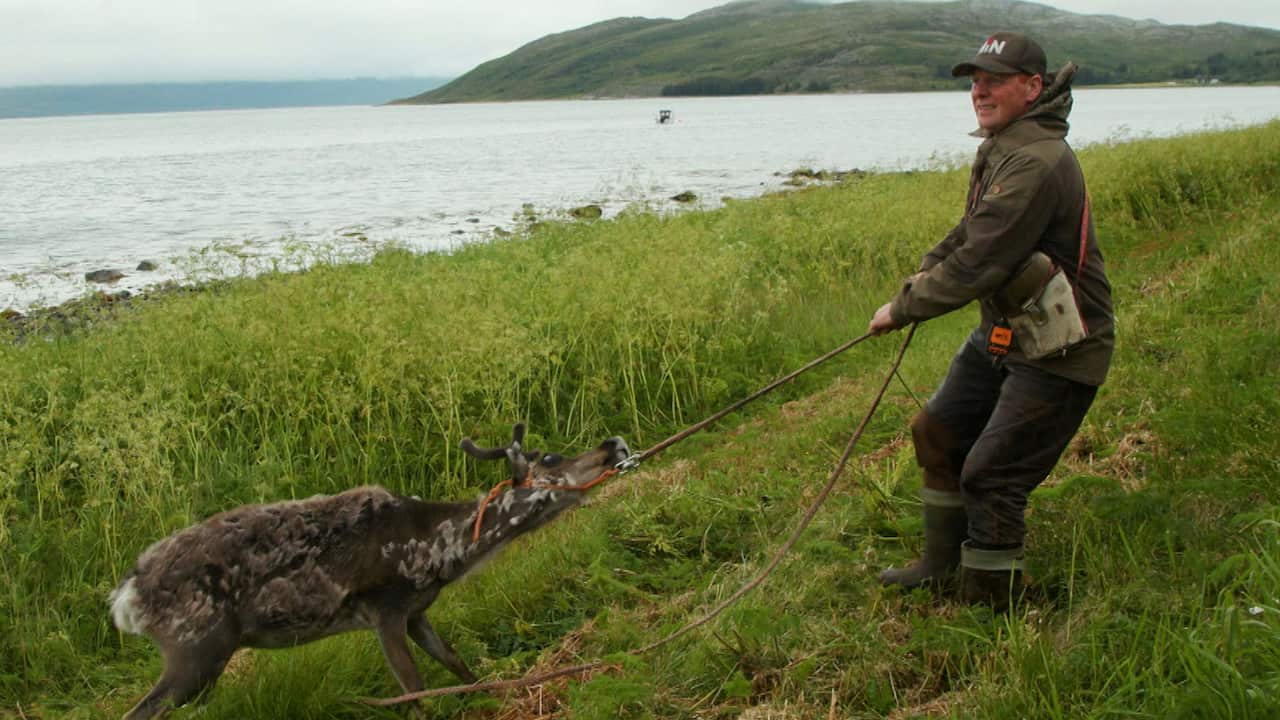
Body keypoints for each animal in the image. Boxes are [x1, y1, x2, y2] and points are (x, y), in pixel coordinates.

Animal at [108, 423, 630, 719]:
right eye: (551, 458)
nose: (612, 444)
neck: (441, 551)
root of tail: (126, 599)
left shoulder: (418, 611)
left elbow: (457, 665)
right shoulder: (385, 609)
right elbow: (415, 694)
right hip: (196, 647)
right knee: (139, 713)